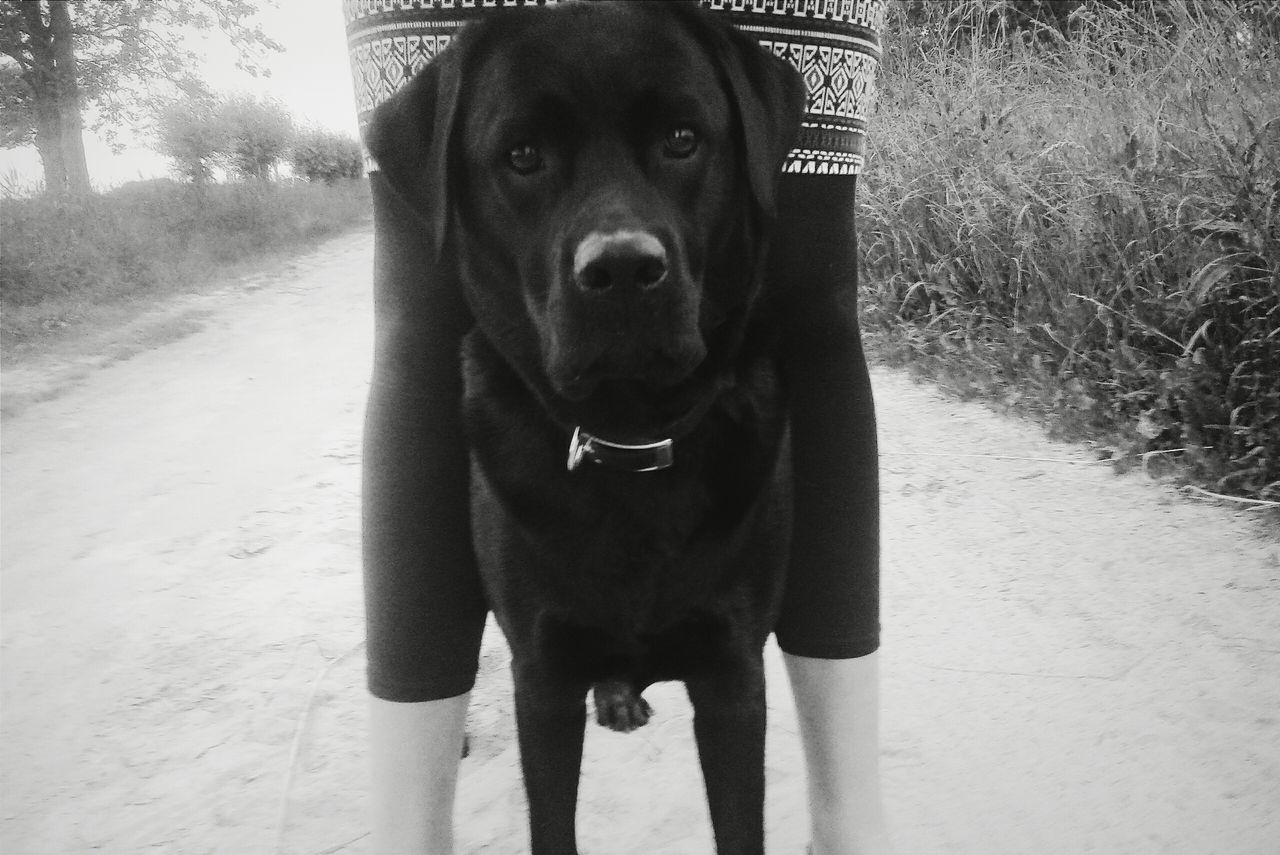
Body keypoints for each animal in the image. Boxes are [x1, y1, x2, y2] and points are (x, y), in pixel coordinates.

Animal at [368, 3, 798, 849]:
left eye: (682, 138)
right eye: (522, 155)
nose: (624, 270)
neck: (630, 438)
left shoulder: (734, 674)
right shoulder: (543, 679)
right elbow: (552, 822)